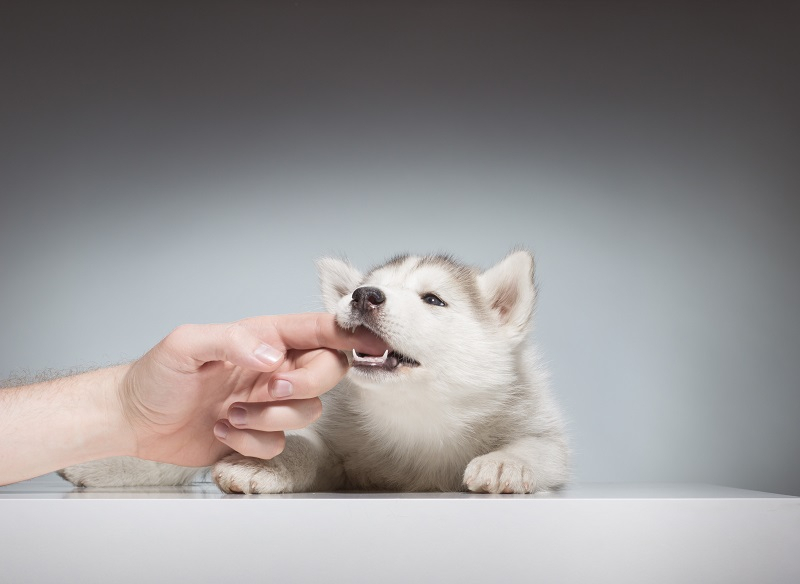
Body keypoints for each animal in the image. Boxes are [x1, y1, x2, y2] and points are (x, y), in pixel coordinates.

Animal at [62, 250, 568, 492]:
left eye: (433, 299)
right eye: (371, 286)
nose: (363, 295)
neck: (419, 416)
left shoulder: (542, 428)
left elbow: (536, 447)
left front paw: (506, 462)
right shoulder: (337, 447)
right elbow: (304, 447)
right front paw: (268, 464)